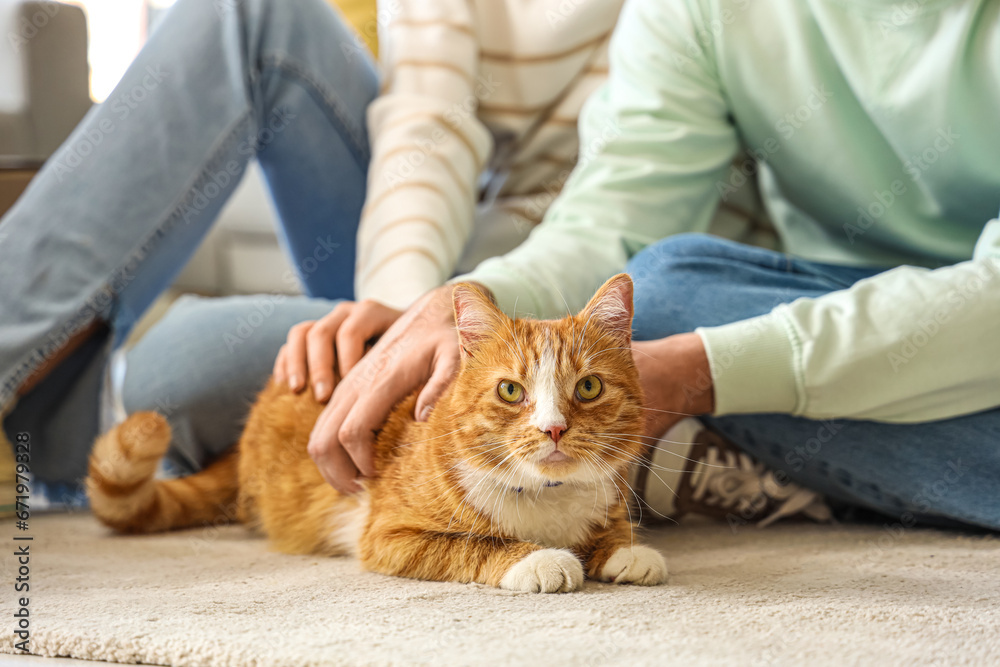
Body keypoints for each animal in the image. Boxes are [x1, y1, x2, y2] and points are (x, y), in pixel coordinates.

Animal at [86, 274, 664, 592]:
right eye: (510, 391)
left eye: (588, 387)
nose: (554, 429)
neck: (547, 498)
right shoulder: (390, 536)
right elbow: (474, 545)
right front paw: (538, 558)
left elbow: (611, 529)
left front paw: (623, 550)